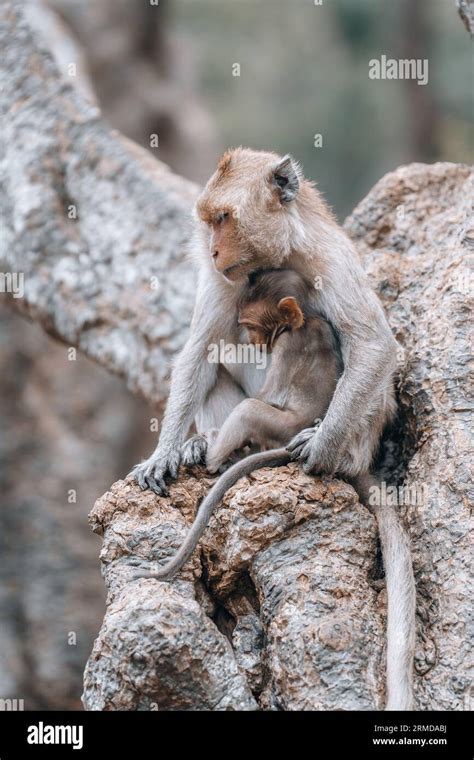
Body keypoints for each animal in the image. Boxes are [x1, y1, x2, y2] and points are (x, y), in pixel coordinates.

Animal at [132, 150, 414, 712]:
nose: (212, 249)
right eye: (209, 221)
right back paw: (200, 447)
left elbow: (373, 345)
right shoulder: (225, 279)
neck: (283, 251)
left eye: (224, 218)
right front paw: (165, 451)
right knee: (218, 357)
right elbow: (199, 350)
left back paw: (323, 452)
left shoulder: (331, 260)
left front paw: (321, 448)